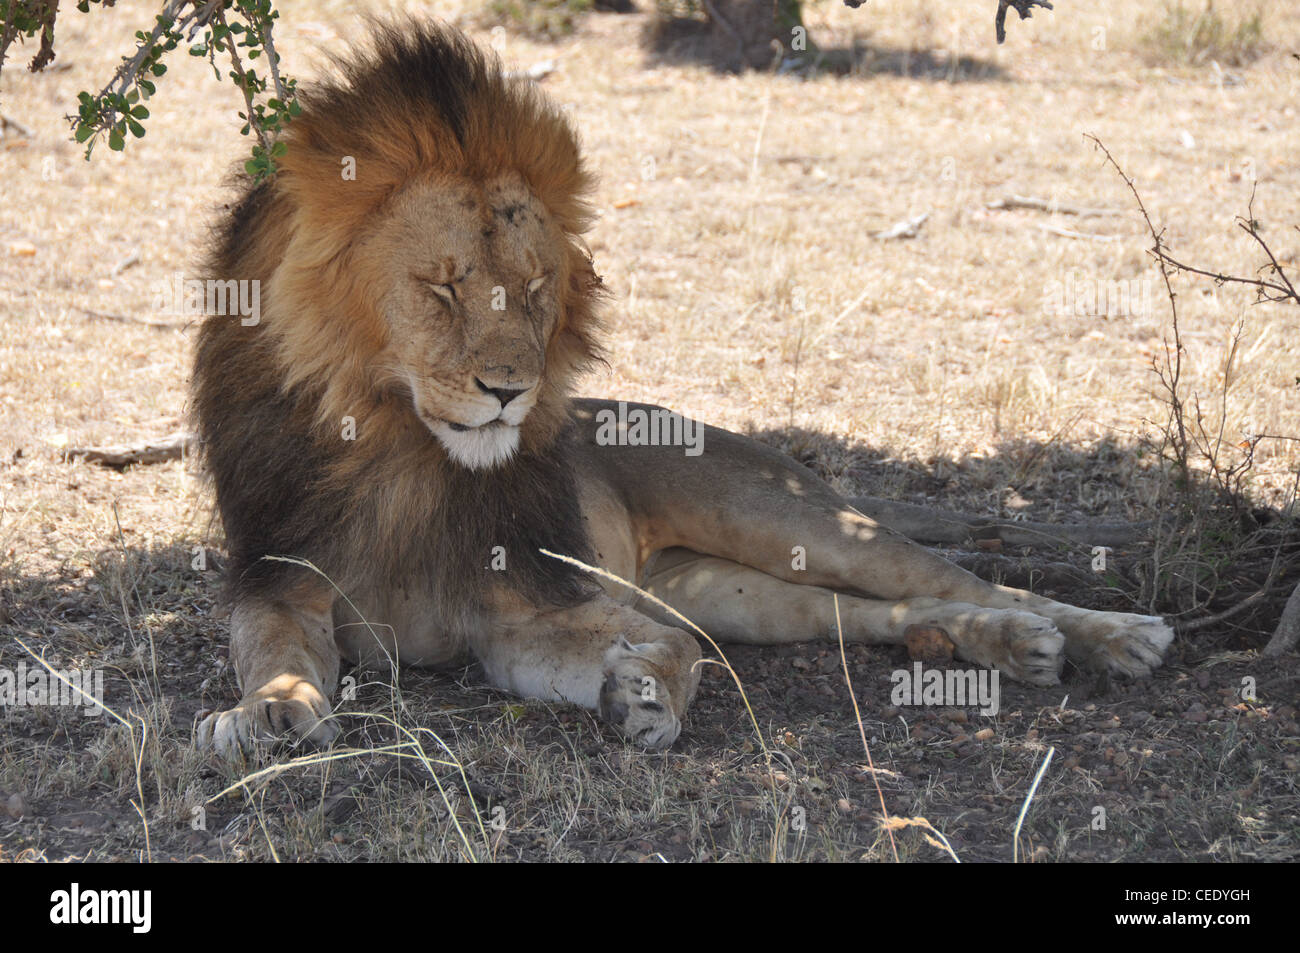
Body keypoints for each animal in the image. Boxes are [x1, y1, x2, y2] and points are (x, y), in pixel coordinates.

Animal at [194, 20, 1173, 755]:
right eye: (442, 287)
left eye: (536, 286)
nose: (510, 390)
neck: (398, 448)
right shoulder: (280, 578)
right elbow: (267, 643)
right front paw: (269, 708)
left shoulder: (525, 609)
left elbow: (673, 649)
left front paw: (648, 692)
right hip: (729, 588)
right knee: (882, 611)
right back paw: (1004, 645)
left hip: (782, 516)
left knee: (961, 578)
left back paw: (1111, 634)